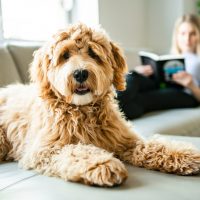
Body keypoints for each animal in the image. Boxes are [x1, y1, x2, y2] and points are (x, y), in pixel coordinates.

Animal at [0, 24, 200, 187]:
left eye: (93, 53)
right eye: (65, 55)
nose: (80, 73)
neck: (82, 110)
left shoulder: (125, 140)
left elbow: (153, 145)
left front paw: (184, 154)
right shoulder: (44, 150)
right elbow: (75, 150)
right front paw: (102, 164)